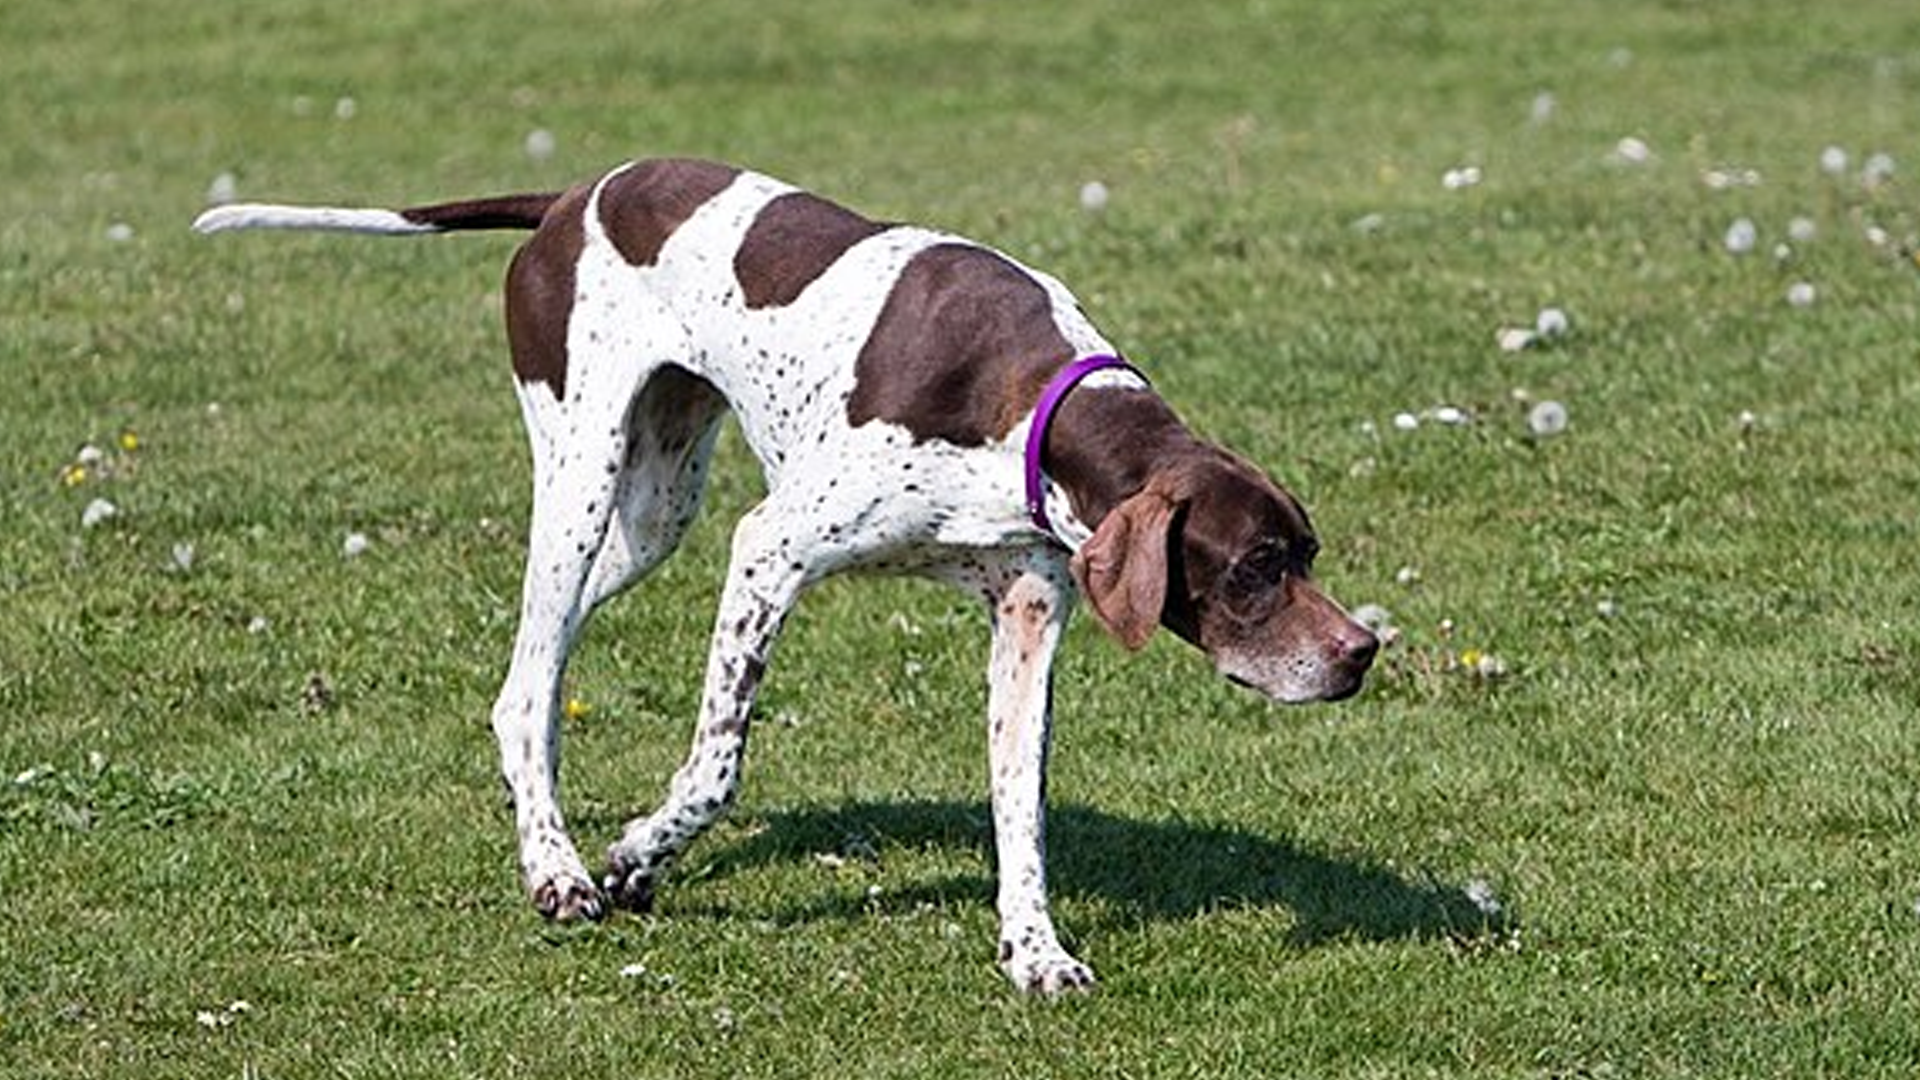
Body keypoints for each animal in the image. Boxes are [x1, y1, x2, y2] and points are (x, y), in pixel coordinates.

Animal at [198, 155, 1382, 991]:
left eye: (1308, 554)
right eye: (1255, 567)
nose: (1362, 652)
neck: (1030, 404)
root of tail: (573, 194)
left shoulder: (1029, 618)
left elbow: (1021, 807)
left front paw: (1035, 951)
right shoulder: (769, 550)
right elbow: (717, 767)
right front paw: (638, 852)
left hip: (652, 515)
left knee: (529, 669)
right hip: (582, 478)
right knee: (530, 684)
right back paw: (559, 869)